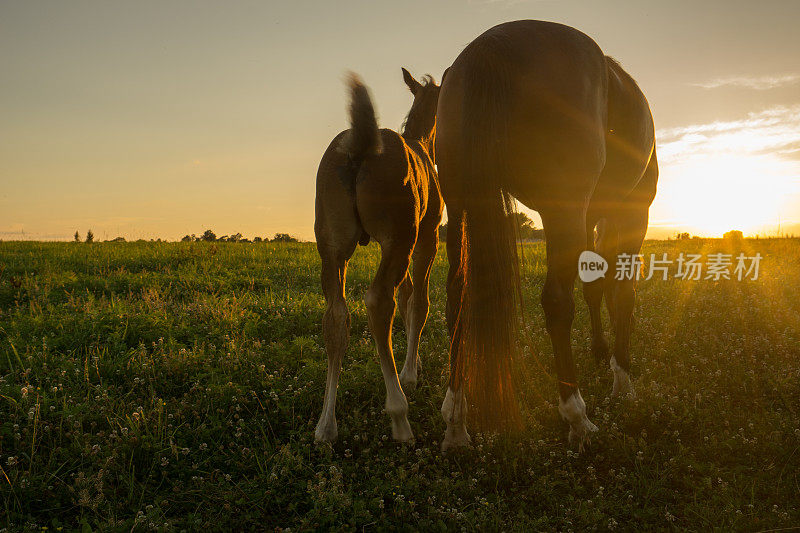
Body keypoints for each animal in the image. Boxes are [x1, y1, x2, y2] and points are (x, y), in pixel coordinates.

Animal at [312, 68, 440, 442]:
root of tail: (360, 148)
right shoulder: (425, 239)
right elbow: (419, 301)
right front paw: (410, 374)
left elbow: (409, 294)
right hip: (400, 239)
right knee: (380, 301)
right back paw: (399, 414)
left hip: (334, 249)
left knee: (335, 316)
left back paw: (326, 424)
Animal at [438, 20, 656, 446]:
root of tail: (490, 44)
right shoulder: (632, 214)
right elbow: (623, 294)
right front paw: (623, 381)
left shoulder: (591, 220)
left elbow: (594, 287)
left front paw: (602, 351)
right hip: (565, 211)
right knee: (557, 302)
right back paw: (577, 415)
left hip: (459, 210)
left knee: (457, 296)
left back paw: (456, 421)